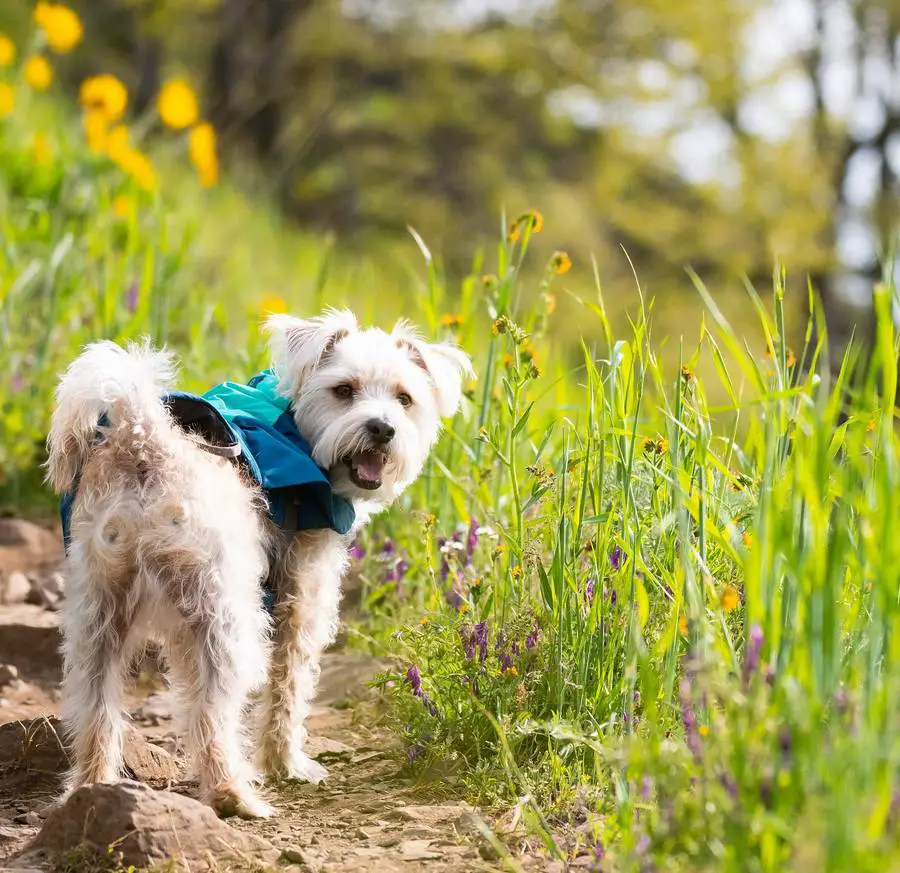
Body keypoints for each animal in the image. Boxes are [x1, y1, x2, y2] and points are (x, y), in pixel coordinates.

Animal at [46, 310, 474, 820]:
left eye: (404, 398)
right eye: (344, 389)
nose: (382, 428)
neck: (292, 425)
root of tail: (145, 438)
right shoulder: (302, 596)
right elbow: (289, 686)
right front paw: (286, 764)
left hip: (99, 610)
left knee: (95, 704)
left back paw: (90, 786)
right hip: (223, 613)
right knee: (211, 711)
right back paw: (233, 794)